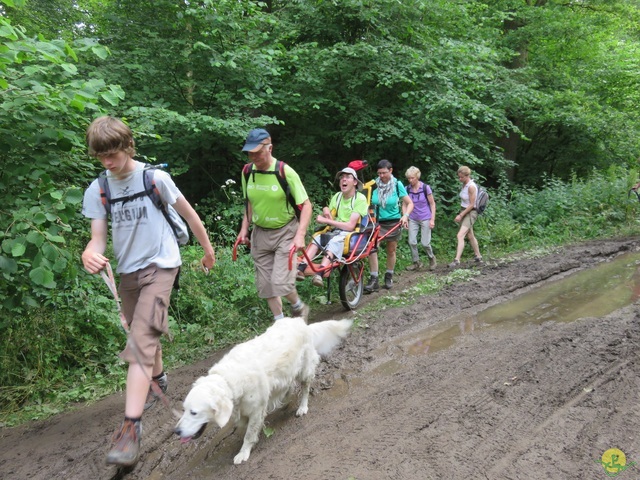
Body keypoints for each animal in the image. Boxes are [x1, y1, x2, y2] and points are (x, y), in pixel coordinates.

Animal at [175, 316, 352, 464]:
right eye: (184, 409)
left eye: (194, 412)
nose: (176, 431)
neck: (228, 380)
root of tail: (300, 321)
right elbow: (244, 425)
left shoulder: (256, 410)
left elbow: (249, 433)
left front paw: (244, 452)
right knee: (288, 388)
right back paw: (285, 401)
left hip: (304, 370)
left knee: (305, 388)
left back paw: (302, 407)